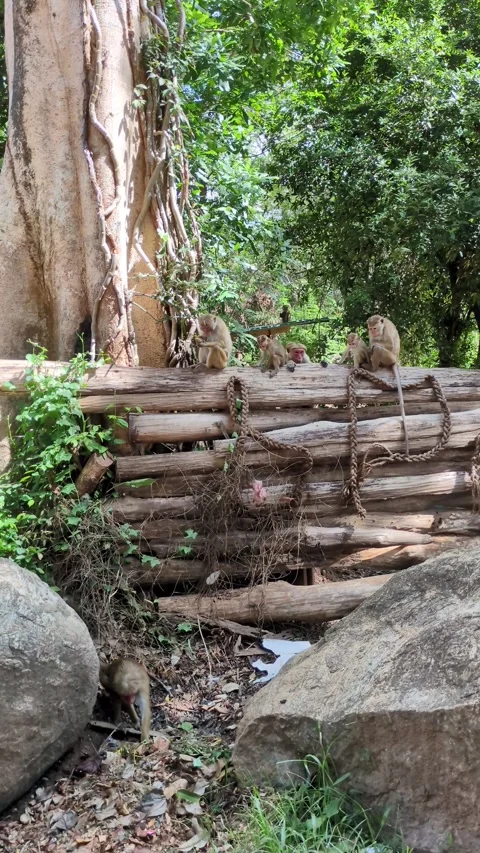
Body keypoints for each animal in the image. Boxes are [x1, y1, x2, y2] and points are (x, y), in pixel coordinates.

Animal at [367, 314, 409, 455]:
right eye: (370, 328)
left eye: (374, 328)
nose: (373, 332)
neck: (382, 327)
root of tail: (395, 360)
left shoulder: (386, 331)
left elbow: (387, 344)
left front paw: (372, 344)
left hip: (389, 358)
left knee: (378, 348)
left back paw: (373, 367)